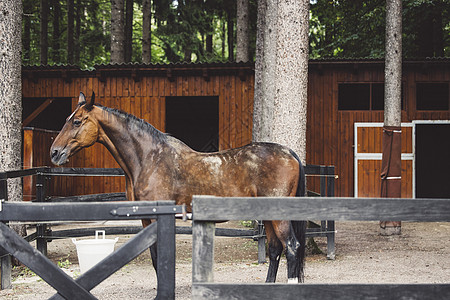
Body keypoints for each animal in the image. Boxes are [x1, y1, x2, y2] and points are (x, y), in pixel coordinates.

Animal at [51, 92, 308, 284]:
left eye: (77, 121)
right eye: (66, 119)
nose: (54, 152)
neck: (149, 158)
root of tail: (289, 153)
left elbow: (160, 258)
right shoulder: (145, 218)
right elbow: (155, 258)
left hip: (279, 216)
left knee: (291, 247)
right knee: (275, 250)